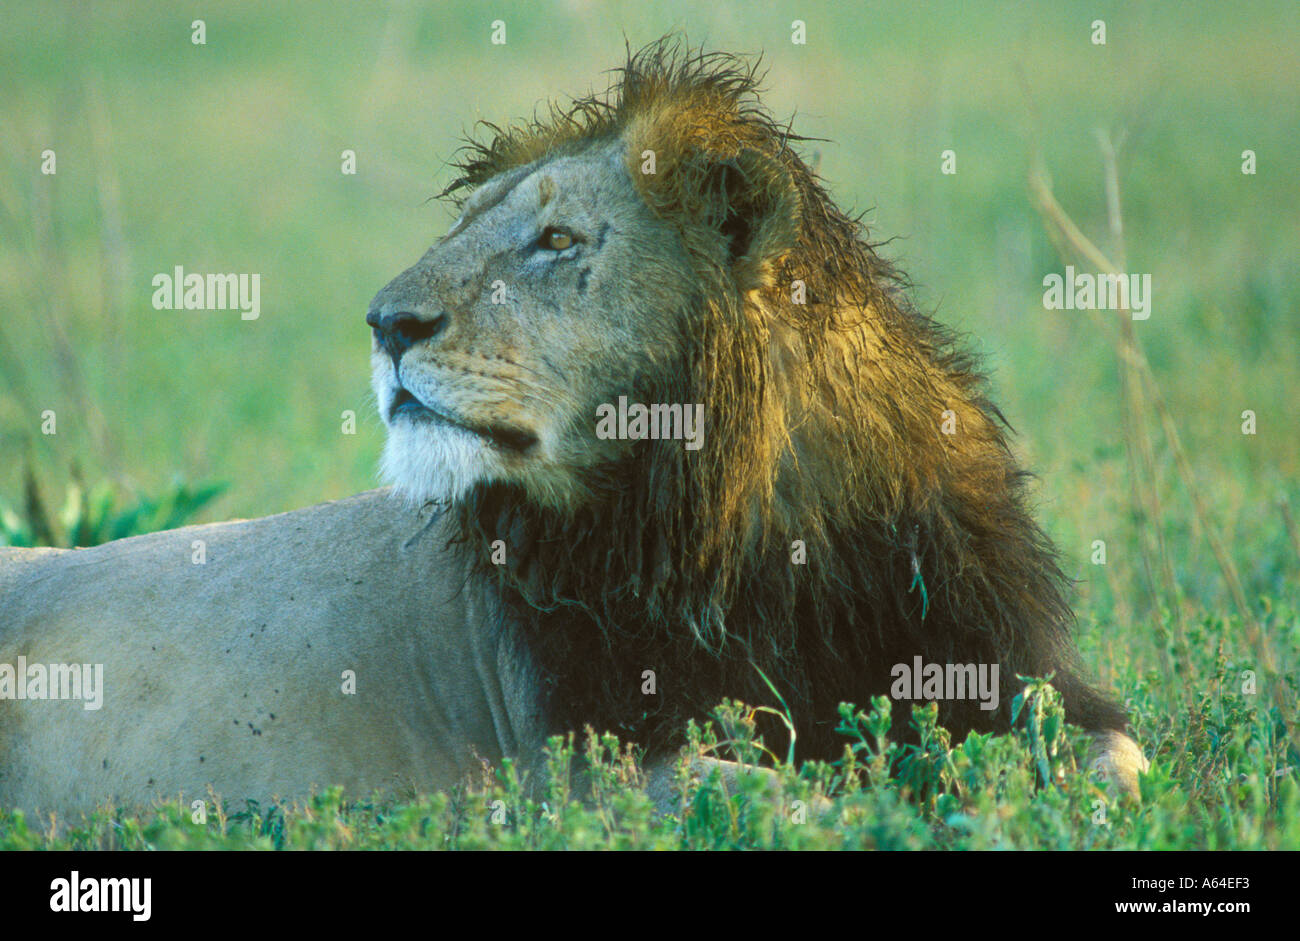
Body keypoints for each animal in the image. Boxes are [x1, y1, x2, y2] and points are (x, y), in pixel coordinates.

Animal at [0, 38, 1146, 819]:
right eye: (464, 231)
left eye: (555, 240)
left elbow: (1110, 758)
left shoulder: (1008, 665)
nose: (385, 323)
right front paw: (906, 799)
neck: (755, 521)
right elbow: (779, 792)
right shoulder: (588, 765)